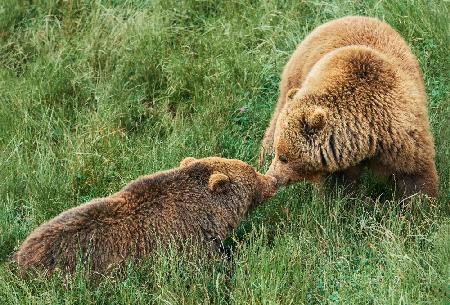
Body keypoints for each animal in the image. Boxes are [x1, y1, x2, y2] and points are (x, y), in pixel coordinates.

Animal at [260, 16, 440, 197]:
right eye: (279, 153)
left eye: (284, 157)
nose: (273, 177)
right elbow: (338, 185)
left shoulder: (397, 135)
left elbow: (413, 175)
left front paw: (421, 200)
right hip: (296, 76)